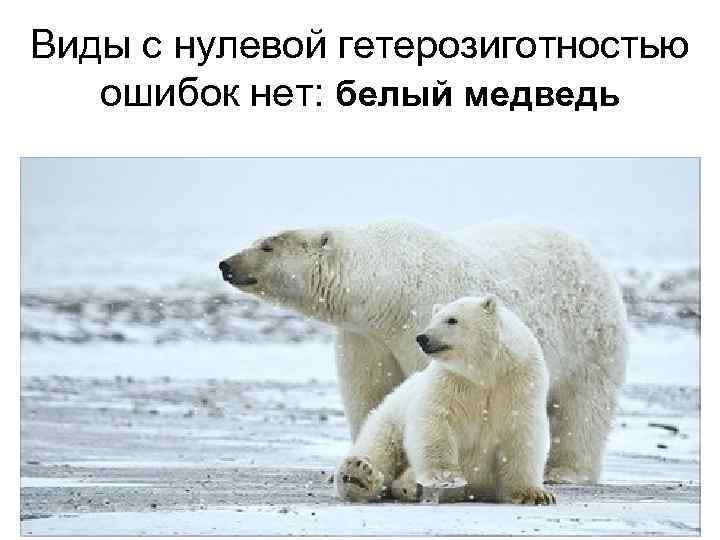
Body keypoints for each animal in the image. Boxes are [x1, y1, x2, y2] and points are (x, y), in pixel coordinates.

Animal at [219, 219, 628, 483]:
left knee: (583, 405)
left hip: (590, 337)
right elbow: (370, 393)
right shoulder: (366, 336)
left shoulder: (422, 317)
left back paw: (566, 472)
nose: (225, 264)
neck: (387, 289)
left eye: (267, 245)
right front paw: (360, 462)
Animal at [334, 295, 555, 505]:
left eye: (452, 320)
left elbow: (522, 433)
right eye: (432, 319)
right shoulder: (451, 381)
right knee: (380, 445)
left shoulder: (518, 384)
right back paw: (359, 476)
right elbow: (435, 421)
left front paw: (535, 494)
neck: (485, 373)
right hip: (391, 416)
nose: (422, 337)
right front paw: (446, 477)